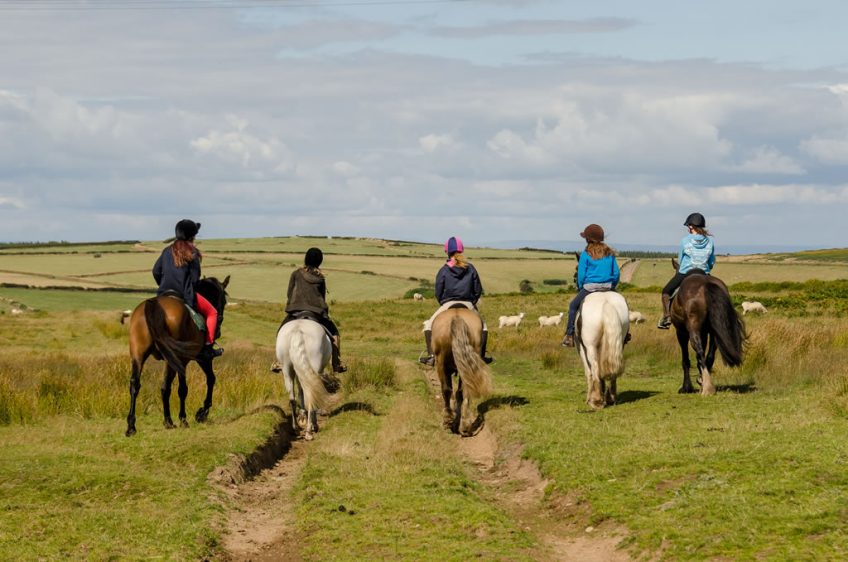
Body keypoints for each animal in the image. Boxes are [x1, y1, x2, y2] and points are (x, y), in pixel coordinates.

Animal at [125, 274, 229, 436]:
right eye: (223, 301)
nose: (218, 331)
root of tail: (154, 304)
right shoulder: (197, 359)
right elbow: (203, 382)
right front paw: (198, 414)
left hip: (138, 355)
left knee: (136, 384)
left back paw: (132, 426)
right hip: (173, 358)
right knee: (166, 386)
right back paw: (169, 421)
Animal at [434, 306, 494, 434]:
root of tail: (457, 316)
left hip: (440, 362)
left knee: (446, 390)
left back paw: (448, 420)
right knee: (465, 390)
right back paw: (465, 425)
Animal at [672, 266, 744, 394]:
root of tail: (706, 284)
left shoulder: (681, 332)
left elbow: (685, 360)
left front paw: (686, 387)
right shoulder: (704, 332)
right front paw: (699, 380)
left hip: (693, 329)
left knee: (700, 351)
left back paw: (707, 388)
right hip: (715, 331)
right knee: (710, 356)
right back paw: (705, 382)